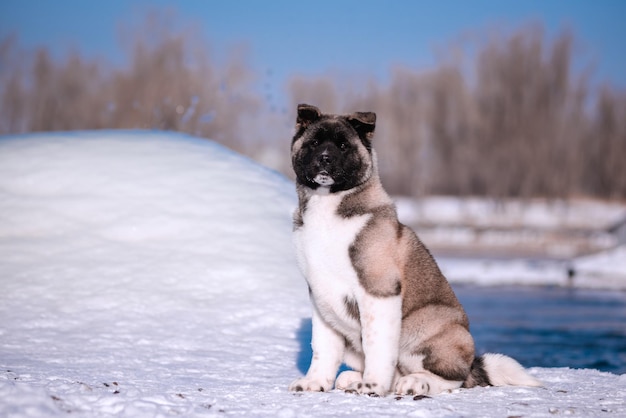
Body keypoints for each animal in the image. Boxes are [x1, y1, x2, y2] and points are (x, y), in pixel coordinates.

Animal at [286, 103, 540, 396]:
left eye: (342, 145)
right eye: (314, 143)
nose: (325, 158)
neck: (328, 207)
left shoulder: (379, 290)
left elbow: (377, 345)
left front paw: (372, 385)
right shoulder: (321, 299)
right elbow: (323, 348)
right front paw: (314, 382)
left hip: (428, 325)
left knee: (453, 378)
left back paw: (415, 382)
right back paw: (352, 378)